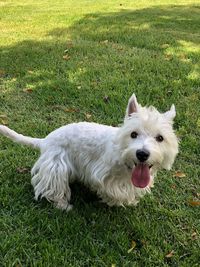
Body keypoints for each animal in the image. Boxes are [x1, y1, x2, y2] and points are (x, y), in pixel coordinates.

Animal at [0, 94, 178, 211]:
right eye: (133, 134)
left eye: (160, 138)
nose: (142, 154)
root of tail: (45, 141)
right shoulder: (103, 174)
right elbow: (112, 191)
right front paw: (116, 200)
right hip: (56, 166)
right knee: (53, 187)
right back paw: (64, 205)